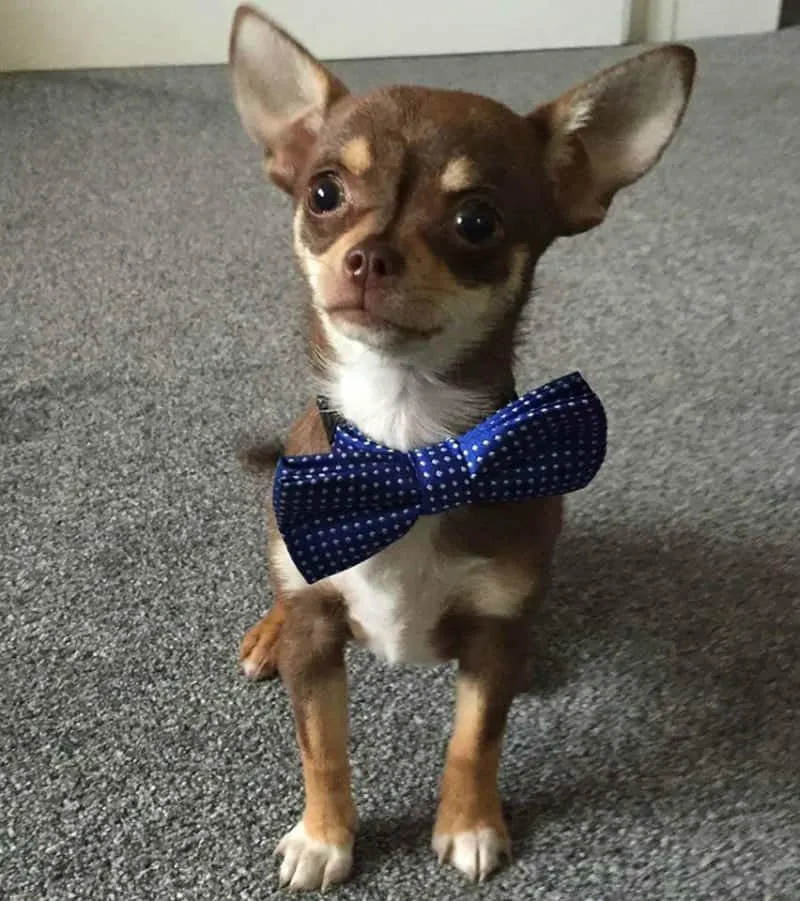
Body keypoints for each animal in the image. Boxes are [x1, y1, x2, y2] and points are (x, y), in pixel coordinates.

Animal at [230, 7, 692, 888]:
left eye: (476, 220)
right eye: (324, 193)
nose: (368, 255)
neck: (408, 450)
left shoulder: (494, 633)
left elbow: (476, 737)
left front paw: (472, 823)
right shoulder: (319, 622)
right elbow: (322, 746)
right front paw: (324, 837)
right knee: (286, 591)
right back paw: (269, 633)